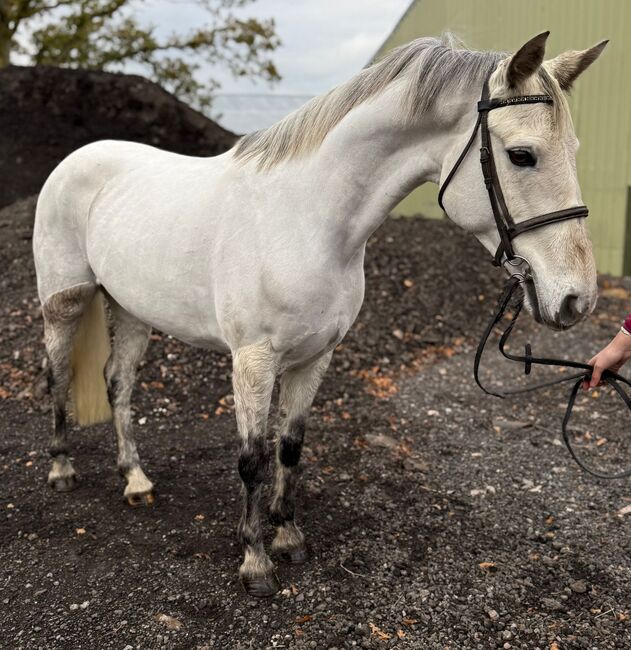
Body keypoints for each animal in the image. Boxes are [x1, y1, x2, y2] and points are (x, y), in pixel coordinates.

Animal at [33, 32, 607, 597]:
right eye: (522, 155)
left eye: (575, 151)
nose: (577, 298)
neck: (306, 219)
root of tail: (77, 158)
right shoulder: (253, 361)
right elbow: (252, 460)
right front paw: (256, 563)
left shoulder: (317, 356)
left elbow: (289, 447)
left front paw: (288, 537)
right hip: (64, 303)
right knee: (58, 376)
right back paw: (61, 469)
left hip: (130, 308)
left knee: (118, 383)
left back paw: (135, 480)